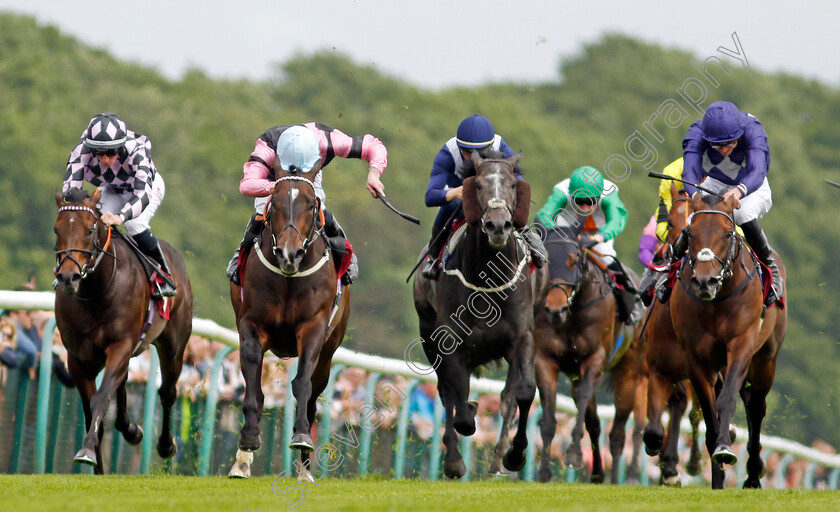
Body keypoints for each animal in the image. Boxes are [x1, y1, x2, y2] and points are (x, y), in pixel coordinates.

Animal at [53, 186, 194, 474]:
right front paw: (96, 464)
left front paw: (87, 451)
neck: (96, 292)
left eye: (89, 229)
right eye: (56, 229)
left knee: (167, 393)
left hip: (174, 347)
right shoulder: (77, 359)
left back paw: (165, 445)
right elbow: (92, 413)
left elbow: (100, 400)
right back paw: (131, 429)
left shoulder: (120, 345)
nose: (68, 278)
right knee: (123, 384)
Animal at [228, 173, 350, 480]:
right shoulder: (251, 325)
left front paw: (302, 438)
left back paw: (305, 469)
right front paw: (246, 446)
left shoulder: (313, 329)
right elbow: (254, 391)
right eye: (276, 203)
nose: (289, 254)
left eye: (310, 206)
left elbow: (303, 385)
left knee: (312, 398)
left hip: (328, 354)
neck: (288, 279)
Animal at [536, 227, 648, 484]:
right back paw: (598, 473)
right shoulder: (546, 361)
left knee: (619, 432)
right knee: (595, 423)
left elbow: (587, 396)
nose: (555, 309)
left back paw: (619, 479)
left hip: (629, 373)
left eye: (573, 259)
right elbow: (550, 419)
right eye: (547, 259)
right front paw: (544, 472)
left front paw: (574, 454)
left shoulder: (595, 359)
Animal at [672, 192, 784, 488]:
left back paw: (754, 474)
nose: (704, 282)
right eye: (690, 233)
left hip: (766, 358)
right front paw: (717, 474)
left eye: (727, 233)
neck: (716, 302)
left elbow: (726, 400)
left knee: (755, 406)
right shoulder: (695, 358)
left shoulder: (741, 345)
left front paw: (724, 449)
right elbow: (710, 413)